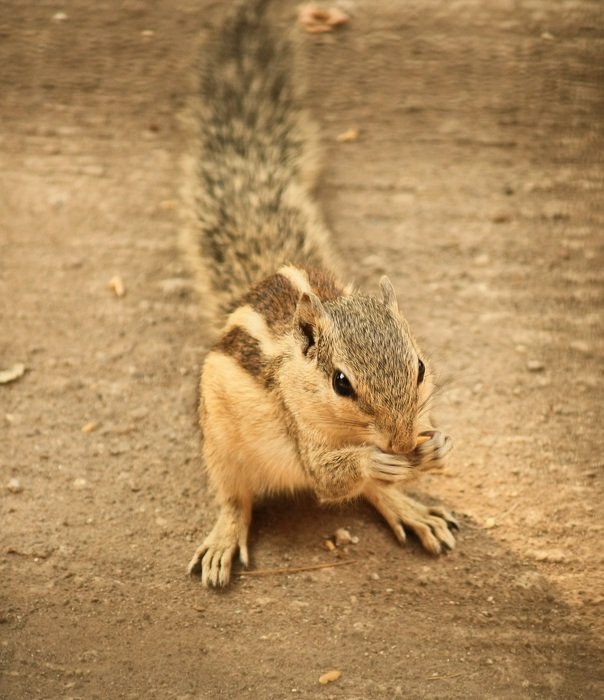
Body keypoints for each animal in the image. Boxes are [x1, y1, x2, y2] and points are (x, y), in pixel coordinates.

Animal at [182, 0, 457, 588]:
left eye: (421, 367)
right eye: (340, 384)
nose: (402, 444)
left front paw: (437, 445)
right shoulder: (300, 431)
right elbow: (331, 477)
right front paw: (373, 462)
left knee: (377, 497)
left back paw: (412, 509)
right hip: (221, 445)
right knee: (234, 499)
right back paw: (223, 541)